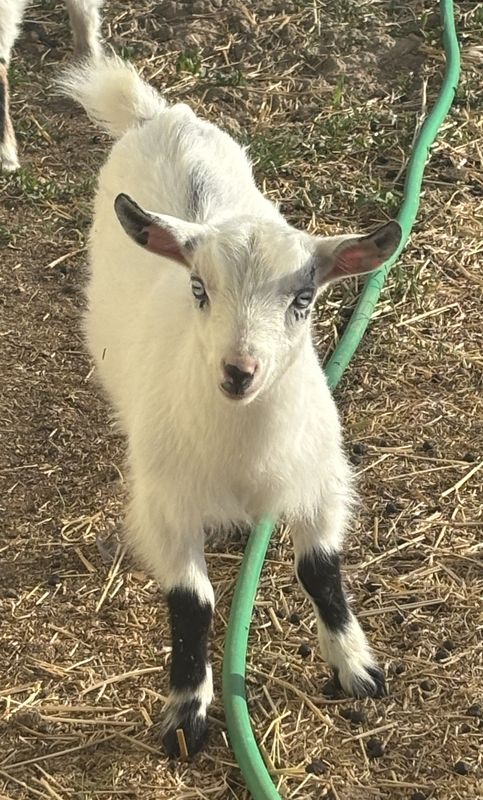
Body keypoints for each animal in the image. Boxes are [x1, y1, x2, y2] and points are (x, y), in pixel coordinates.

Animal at [60, 56, 401, 758]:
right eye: (199, 289)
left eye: (303, 298)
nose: (239, 372)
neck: (243, 447)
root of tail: (160, 115)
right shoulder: (165, 506)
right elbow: (192, 603)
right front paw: (187, 714)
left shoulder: (320, 479)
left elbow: (320, 569)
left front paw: (356, 666)